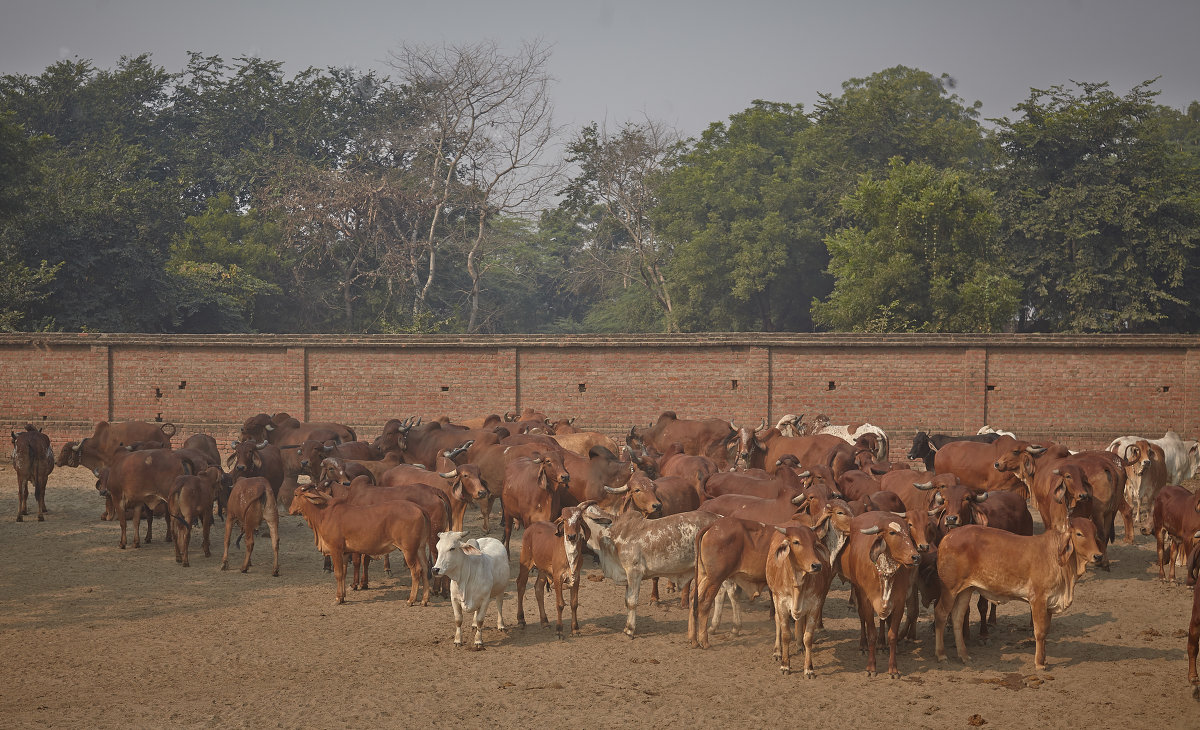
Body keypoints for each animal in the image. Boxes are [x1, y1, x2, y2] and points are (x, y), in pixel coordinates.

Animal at [291, 485, 432, 605]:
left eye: (295, 494)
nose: (290, 509)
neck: (323, 514)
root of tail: (419, 508)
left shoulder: (335, 550)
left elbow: (338, 573)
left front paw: (338, 598)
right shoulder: (345, 553)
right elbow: (343, 573)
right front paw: (343, 596)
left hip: (409, 550)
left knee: (416, 570)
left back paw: (411, 600)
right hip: (420, 548)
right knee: (425, 568)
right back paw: (424, 599)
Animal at [573, 501, 720, 638]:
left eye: (579, 517)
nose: (570, 536)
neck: (611, 533)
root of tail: (719, 518)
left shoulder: (634, 572)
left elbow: (632, 602)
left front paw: (630, 630)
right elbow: (627, 600)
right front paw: (627, 627)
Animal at [840, 513, 921, 677]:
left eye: (909, 533)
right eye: (892, 533)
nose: (915, 557)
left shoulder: (899, 602)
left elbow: (892, 635)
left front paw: (893, 668)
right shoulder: (867, 601)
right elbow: (871, 633)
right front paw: (871, 667)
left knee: (883, 621)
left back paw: (882, 645)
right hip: (857, 591)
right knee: (862, 619)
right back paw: (863, 645)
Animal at [936, 518, 1104, 667]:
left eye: (1095, 533)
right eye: (1079, 533)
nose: (1098, 556)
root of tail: (948, 536)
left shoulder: (1049, 602)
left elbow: (1046, 631)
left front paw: (1043, 659)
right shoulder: (1038, 599)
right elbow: (1039, 632)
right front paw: (1039, 664)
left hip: (966, 590)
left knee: (957, 618)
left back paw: (964, 655)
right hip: (949, 589)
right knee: (941, 614)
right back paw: (941, 655)